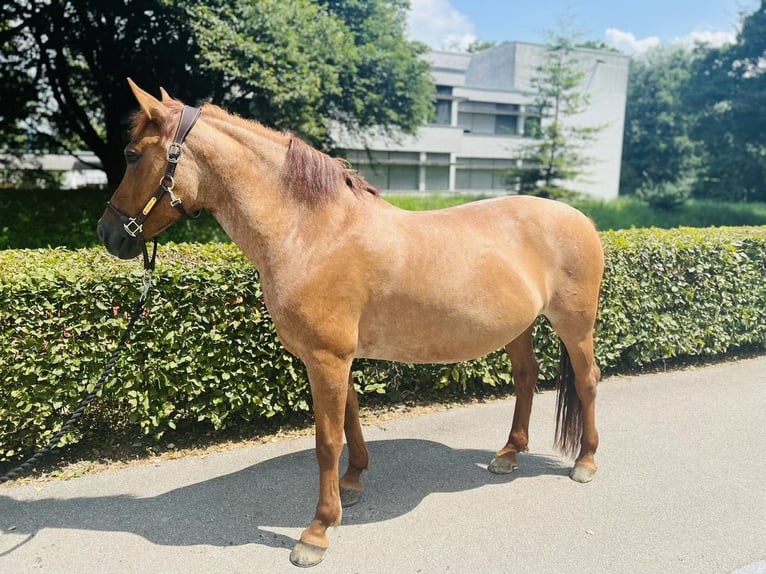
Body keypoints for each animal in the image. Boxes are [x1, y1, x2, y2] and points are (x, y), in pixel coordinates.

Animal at [99, 80, 608, 568]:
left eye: (131, 154)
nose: (108, 233)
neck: (313, 233)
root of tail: (581, 217)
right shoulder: (333, 358)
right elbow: (350, 416)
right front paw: (354, 480)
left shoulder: (327, 358)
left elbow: (326, 441)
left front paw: (318, 532)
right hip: (518, 328)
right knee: (526, 377)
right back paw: (509, 454)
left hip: (575, 325)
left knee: (587, 381)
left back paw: (585, 462)